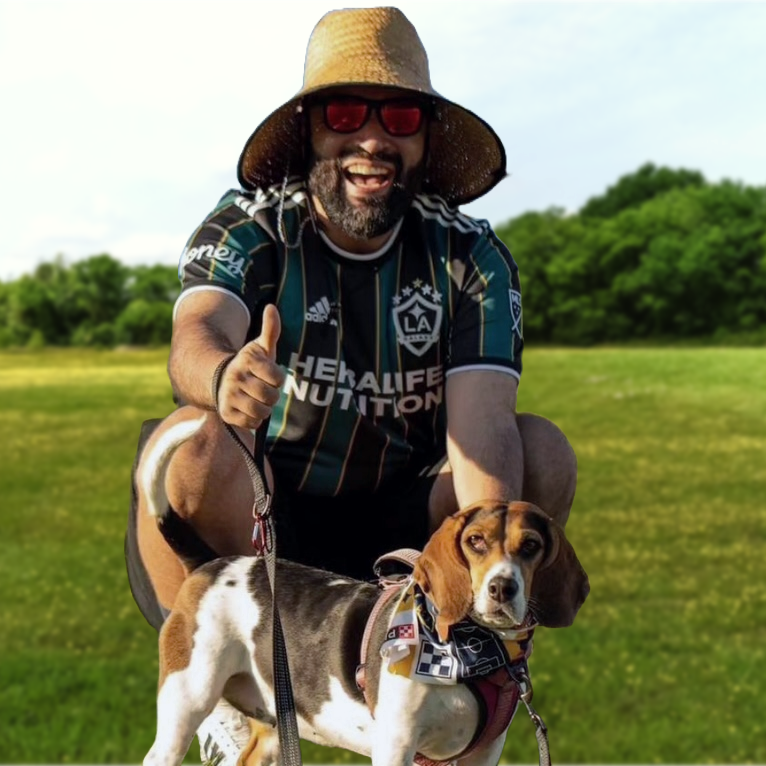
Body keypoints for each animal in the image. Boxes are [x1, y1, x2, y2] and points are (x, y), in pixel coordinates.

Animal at [141, 420, 592, 766]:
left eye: (531, 545)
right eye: (475, 542)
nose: (502, 587)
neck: (473, 651)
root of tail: (210, 562)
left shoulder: (482, 754)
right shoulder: (396, 746)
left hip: (272, 721)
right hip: (187, 699)